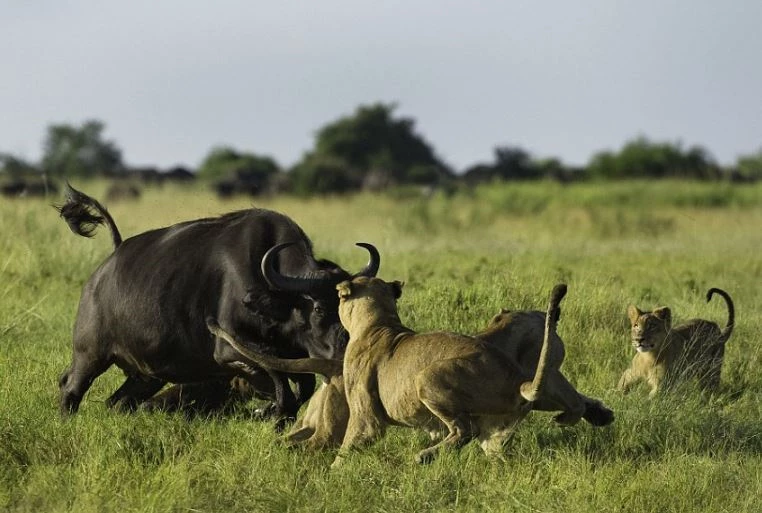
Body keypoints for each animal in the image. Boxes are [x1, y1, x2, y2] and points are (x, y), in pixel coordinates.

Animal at [57, 184, 380, 420]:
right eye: (319, 309)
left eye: (349, 309)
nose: (344, 349)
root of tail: (109, 261)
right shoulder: (230, 350)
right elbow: (278, 385)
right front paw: (270, 411)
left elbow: (300, 389)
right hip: (90, 355)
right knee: (70, 387)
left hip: (146, 375)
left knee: (118, 402)